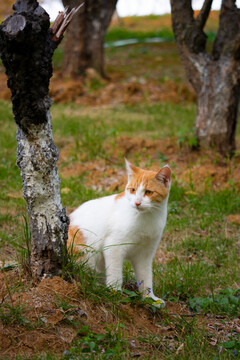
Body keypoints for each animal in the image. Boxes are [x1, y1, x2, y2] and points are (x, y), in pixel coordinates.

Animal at [67, 159, 171, 306]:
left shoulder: (145, 254)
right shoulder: (113, 246)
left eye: (149, 192)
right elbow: (115, 272)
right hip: (86, 253)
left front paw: (150, 298)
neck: (146, 218)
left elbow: (146, 277)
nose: (137, 203)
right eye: (132, 190)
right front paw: (115, 293)